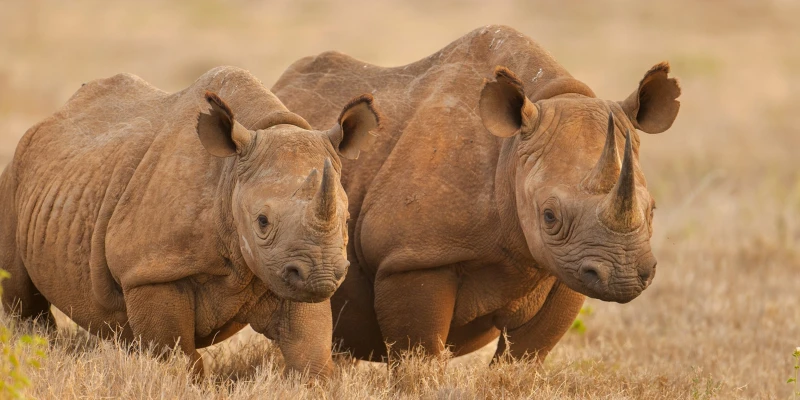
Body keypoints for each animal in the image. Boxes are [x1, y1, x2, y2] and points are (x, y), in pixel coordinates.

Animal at [0, 66, 380, 377]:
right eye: (262, 221)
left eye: (347, 219)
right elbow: (178, 357)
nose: (322, 276)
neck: (231, 175)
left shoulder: (289, 267)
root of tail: (49, 119)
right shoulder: (150, 270)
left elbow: (309, 351)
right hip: (14, 176)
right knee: (20, 299)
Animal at [271, 25, 680, 363]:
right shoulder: (413, 255)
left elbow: (525, 357)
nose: (625, 277)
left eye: (653, 210)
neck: (512, 153)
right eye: (549, 216)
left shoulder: (570, 269)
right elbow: (419, 355)